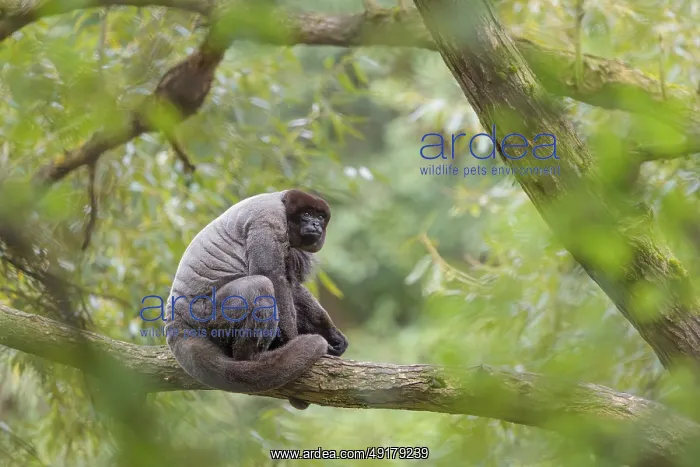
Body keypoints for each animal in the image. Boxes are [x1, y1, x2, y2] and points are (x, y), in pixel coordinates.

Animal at [164, 189, 348, 410]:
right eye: (306, 214)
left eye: (320, 217)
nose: (315, 224)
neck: (282, 203)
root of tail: (175, 319)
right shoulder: (268, 222)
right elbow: (272, 277)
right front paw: (293, 342)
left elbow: (292, 286)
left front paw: (332, 334)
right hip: (206, 315)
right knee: (259, 284)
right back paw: (253, 359)